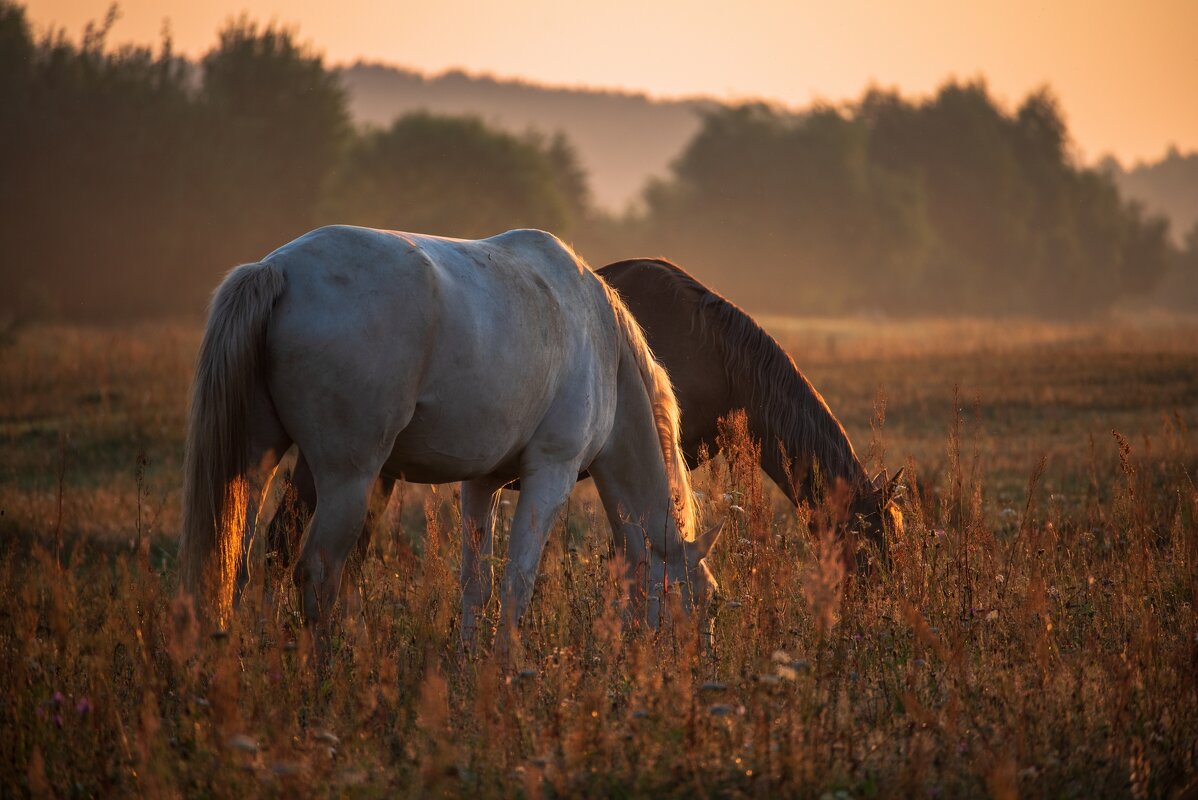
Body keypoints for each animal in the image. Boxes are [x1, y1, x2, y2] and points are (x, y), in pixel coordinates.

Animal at [178, 223, 718, 641]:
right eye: (699, 601)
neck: (601, 343)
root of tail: (279, 270)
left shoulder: (482, 485)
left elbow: (477, 586)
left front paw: (469, 668)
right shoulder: (551, 475)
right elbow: (517, 585)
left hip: (255, 464)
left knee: (235, 565)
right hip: (348, 480)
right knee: (317, 574)